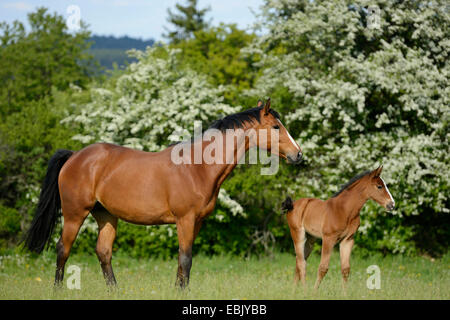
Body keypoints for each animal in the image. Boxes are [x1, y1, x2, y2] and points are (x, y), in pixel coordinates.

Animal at [24, 99, 302, 288]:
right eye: (275, 127)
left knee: (103, 252)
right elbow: (186, 259)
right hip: (74, 214)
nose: (298, 155)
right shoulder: (185, 219)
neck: (197, 167)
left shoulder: (196, 222)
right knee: (63, 249)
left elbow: (182, 258)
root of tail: (75, 156)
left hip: (106, 216)